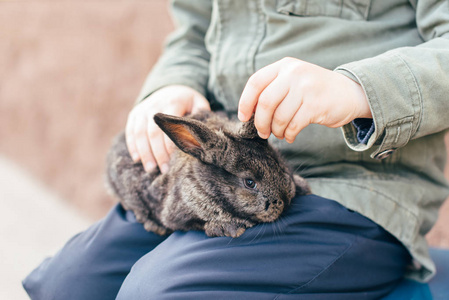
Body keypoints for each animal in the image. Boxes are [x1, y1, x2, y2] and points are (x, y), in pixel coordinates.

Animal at [105, 111, 308, 238]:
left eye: (276, 161)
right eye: (249, 182)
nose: (286, 199)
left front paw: (302, 186)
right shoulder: (177, 215)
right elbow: (197, 223)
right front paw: (231, 228)